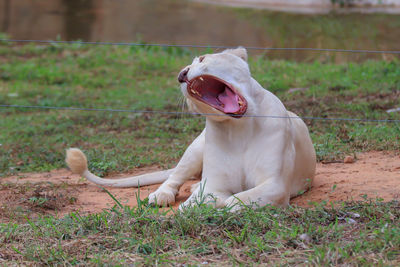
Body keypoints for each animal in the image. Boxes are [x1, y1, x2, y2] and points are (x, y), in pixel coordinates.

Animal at [66, 48, 316, 211]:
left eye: (203, 58)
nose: (181, 74)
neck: (239, 128)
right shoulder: (215, 183)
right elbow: (197, 202)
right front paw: (194, 204)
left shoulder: (276, 185)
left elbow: (237, 200)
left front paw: (221, 205)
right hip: (194, 149)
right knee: (174, 176)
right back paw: (162, 195)